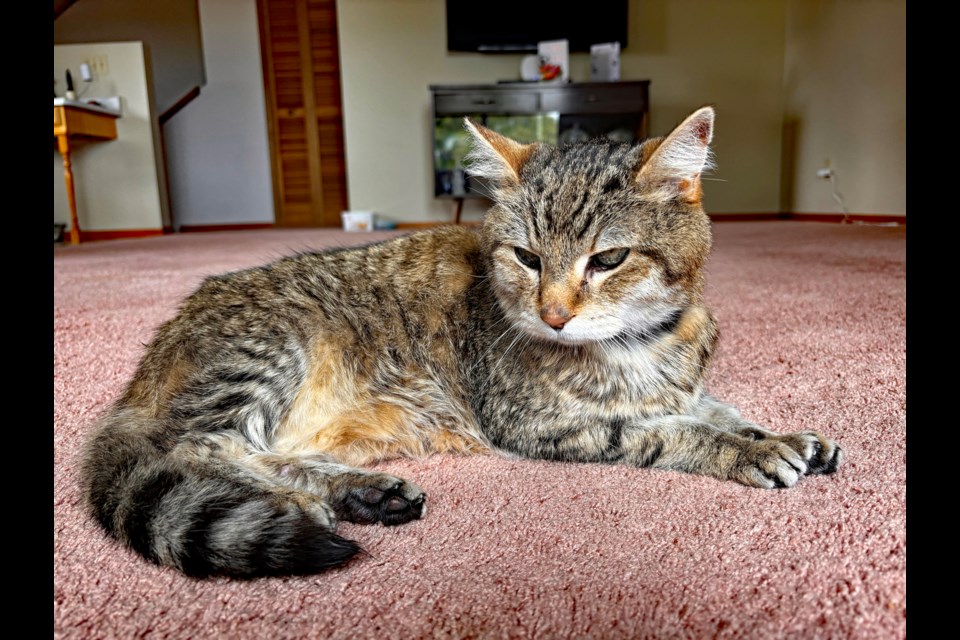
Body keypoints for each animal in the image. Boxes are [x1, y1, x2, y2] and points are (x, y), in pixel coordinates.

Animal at [82, 107, 840, 576]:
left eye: (608, 259)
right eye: (527, 258)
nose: (554, 315)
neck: (647, 341)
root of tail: (148, 366)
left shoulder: (680, 386)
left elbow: (715, 407)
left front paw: (789, 436)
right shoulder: (540, 423)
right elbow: (671, 430)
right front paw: (751, 451)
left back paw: (362, 492)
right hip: (268, 353)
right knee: (206, 449)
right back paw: (311, 501)